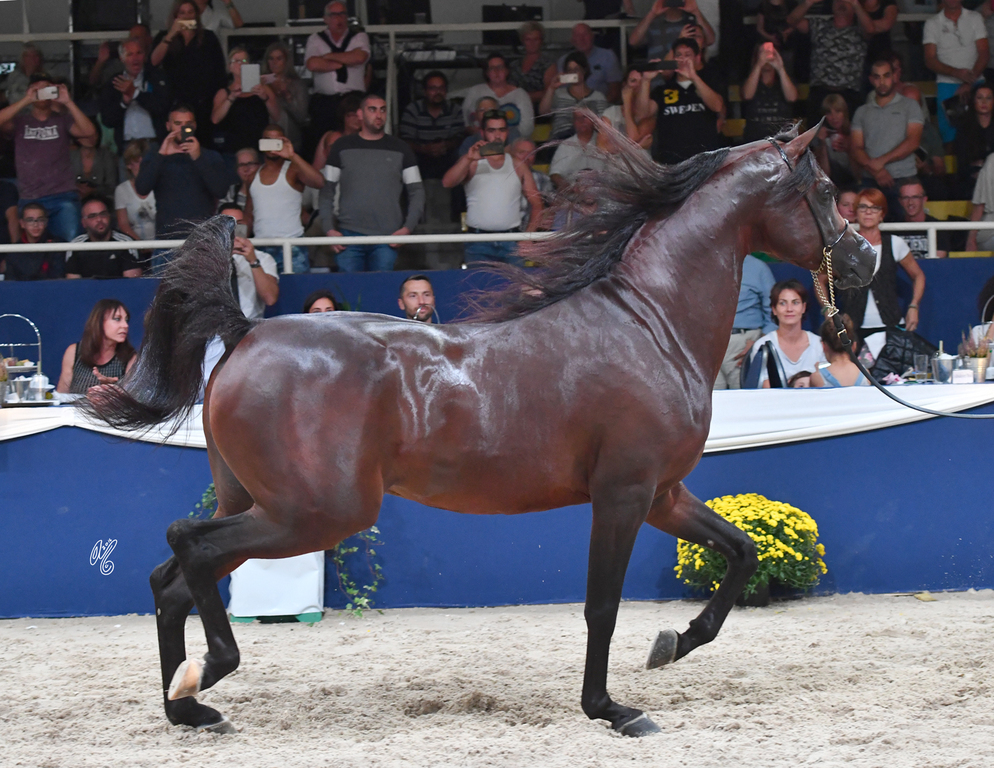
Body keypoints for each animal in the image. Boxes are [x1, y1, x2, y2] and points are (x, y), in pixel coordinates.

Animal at [84, 123, 876, 737]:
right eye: (824, 190)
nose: (866, 259)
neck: (652, 323)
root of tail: (246, 331)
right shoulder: (622, 494)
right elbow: (601, 606)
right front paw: (612, 709)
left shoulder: (663, 494)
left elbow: (740, 553)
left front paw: (671, 645)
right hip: (313, 512)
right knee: (187, 547)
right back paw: (207, 675)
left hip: (259, 503)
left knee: (171, 581)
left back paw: (186, 708)